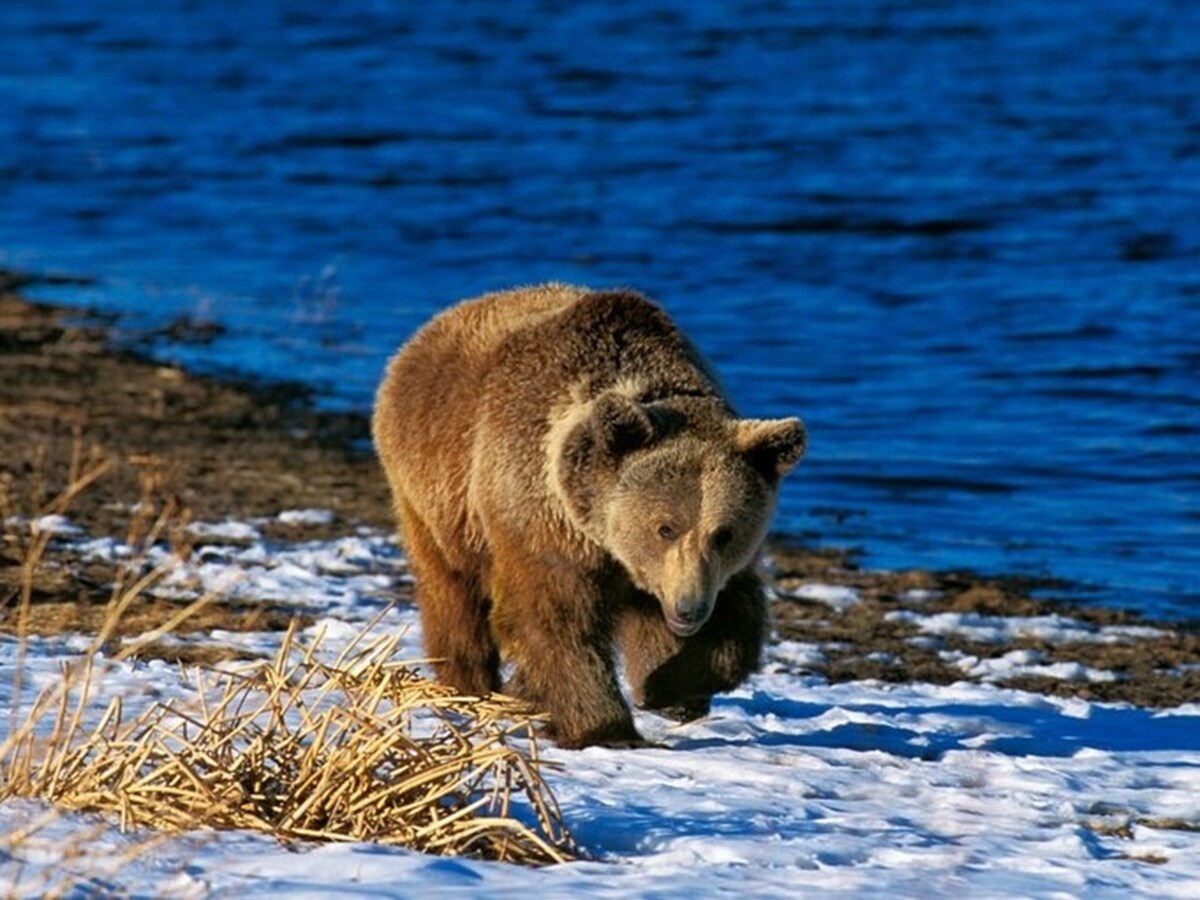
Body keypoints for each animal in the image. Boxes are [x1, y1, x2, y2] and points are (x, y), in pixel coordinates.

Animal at [372, 284, 806, 748]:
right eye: (665, 528)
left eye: (724, 533)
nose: (689, 609)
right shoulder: (543, 522)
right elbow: (555, 621)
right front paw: (605, 726)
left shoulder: (700, 568)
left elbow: (736, 620)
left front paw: (673, 688)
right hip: (435, 493)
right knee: (452, 589)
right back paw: (468, 685)